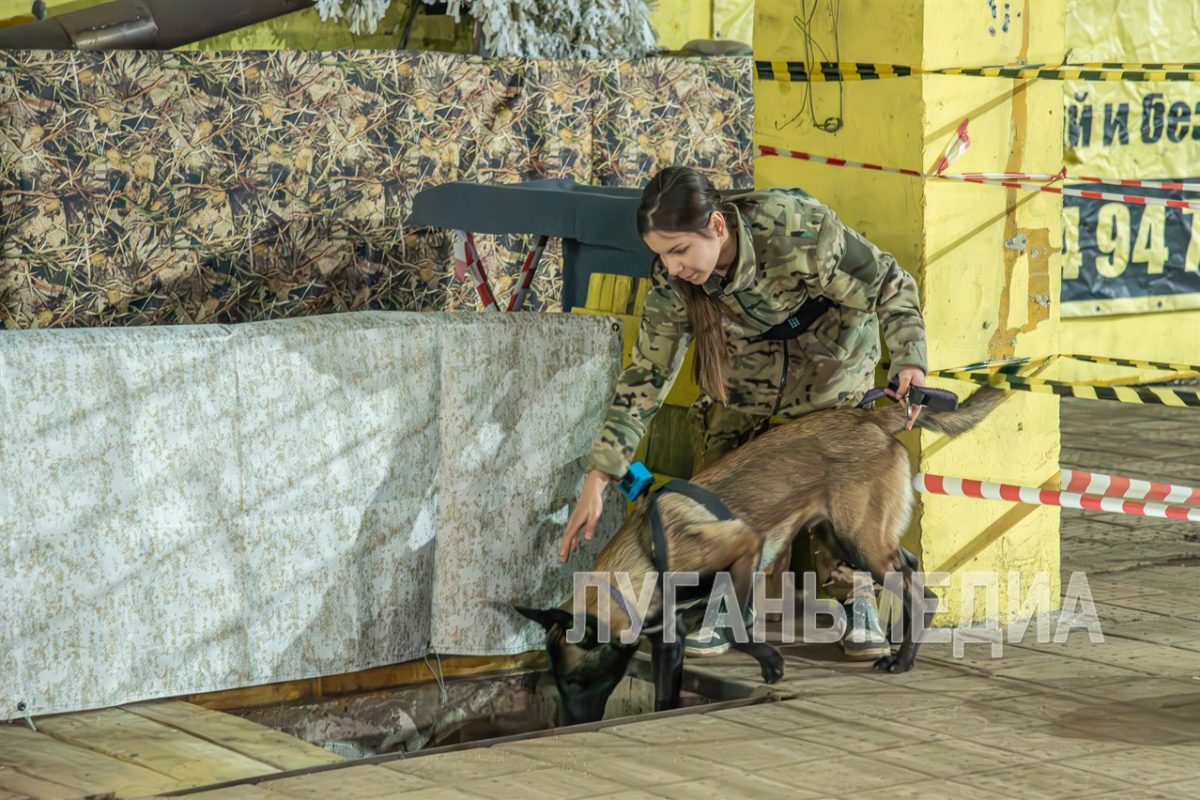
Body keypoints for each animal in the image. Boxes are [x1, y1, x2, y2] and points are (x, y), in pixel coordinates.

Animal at [513, 388, 1003, 724]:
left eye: (575, 680)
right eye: (559, 682)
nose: (568, 725)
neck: (646, 555)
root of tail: (870, 416)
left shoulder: (744, 550)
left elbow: (740, 626)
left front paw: (771, 662)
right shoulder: (669, 638)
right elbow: (668, 690)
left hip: (858, 541)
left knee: (923, 594)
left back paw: (902, 660)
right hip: (847, 538)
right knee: (912, 569)